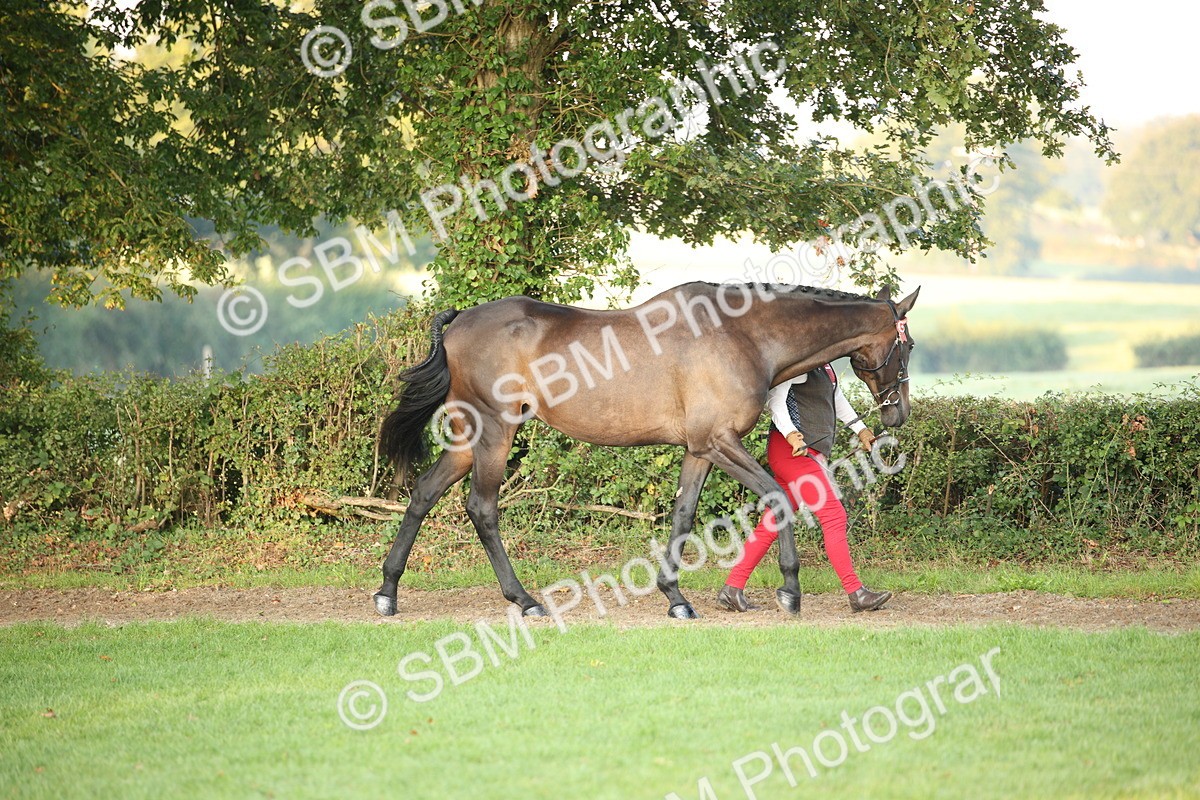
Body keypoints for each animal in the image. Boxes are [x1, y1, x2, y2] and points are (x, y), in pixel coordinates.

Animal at [373, 280, 918, 619]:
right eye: (908, 346)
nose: (897, 415)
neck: (745, 335)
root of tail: (460, 320)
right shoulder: (720, 441)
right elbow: (778, 498)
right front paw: (789, 589)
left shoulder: (700, 449)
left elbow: (683, 515)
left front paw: (675, 596)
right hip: (494, 432)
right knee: (482, 508)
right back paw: (524, 599)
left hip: (468, 438)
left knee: (423, 493)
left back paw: (387, 591)